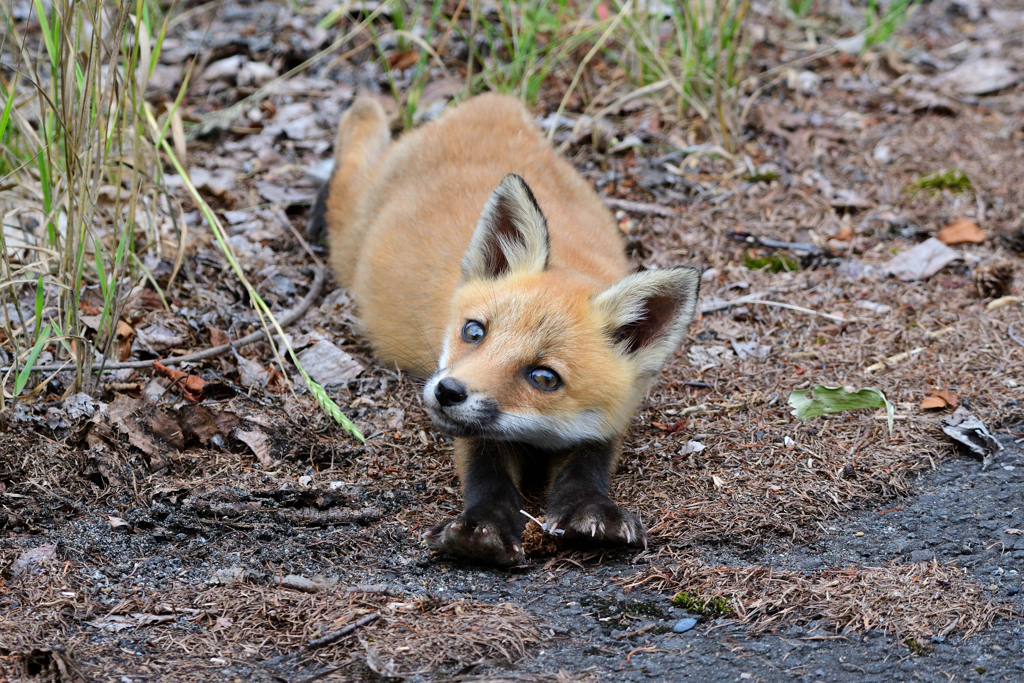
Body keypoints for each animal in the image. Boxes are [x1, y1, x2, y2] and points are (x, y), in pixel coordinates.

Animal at [307, 94, 700, 565]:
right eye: (474, 332)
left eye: (544, 377)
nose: (448, 392)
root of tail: (494, 103)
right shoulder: (470, 429)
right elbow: (486, 468)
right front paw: (485, 526)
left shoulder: (612, 415)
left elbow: (588, 465)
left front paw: (591, 510)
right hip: (348, 232)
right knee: (354, 148)